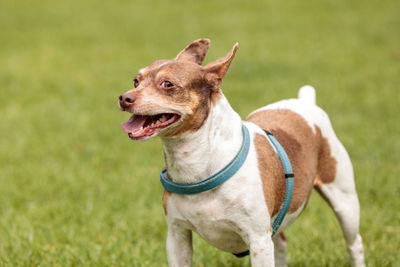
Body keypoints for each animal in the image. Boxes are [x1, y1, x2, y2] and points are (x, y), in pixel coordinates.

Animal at [117, 38, 364, 266]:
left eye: (167, 84)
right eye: (136, 81)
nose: (124, 97)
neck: (196, 163)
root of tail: (305, 102)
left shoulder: (258, 240)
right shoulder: (177, 236)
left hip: (344, 203)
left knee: (355, 243)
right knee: (281, 242)